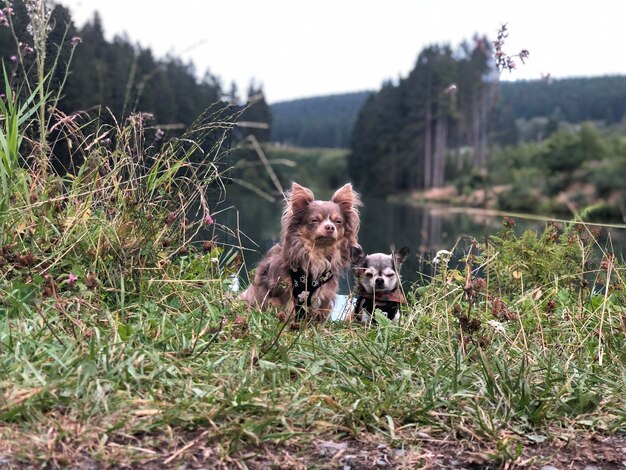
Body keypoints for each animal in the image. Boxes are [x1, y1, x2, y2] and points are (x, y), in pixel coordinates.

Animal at [236, 182, 358, 322]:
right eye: (314, 220)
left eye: (338, 222)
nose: (330, 227)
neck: (317, 254)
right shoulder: (285, 294)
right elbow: (287, 311)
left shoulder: (323, 297)